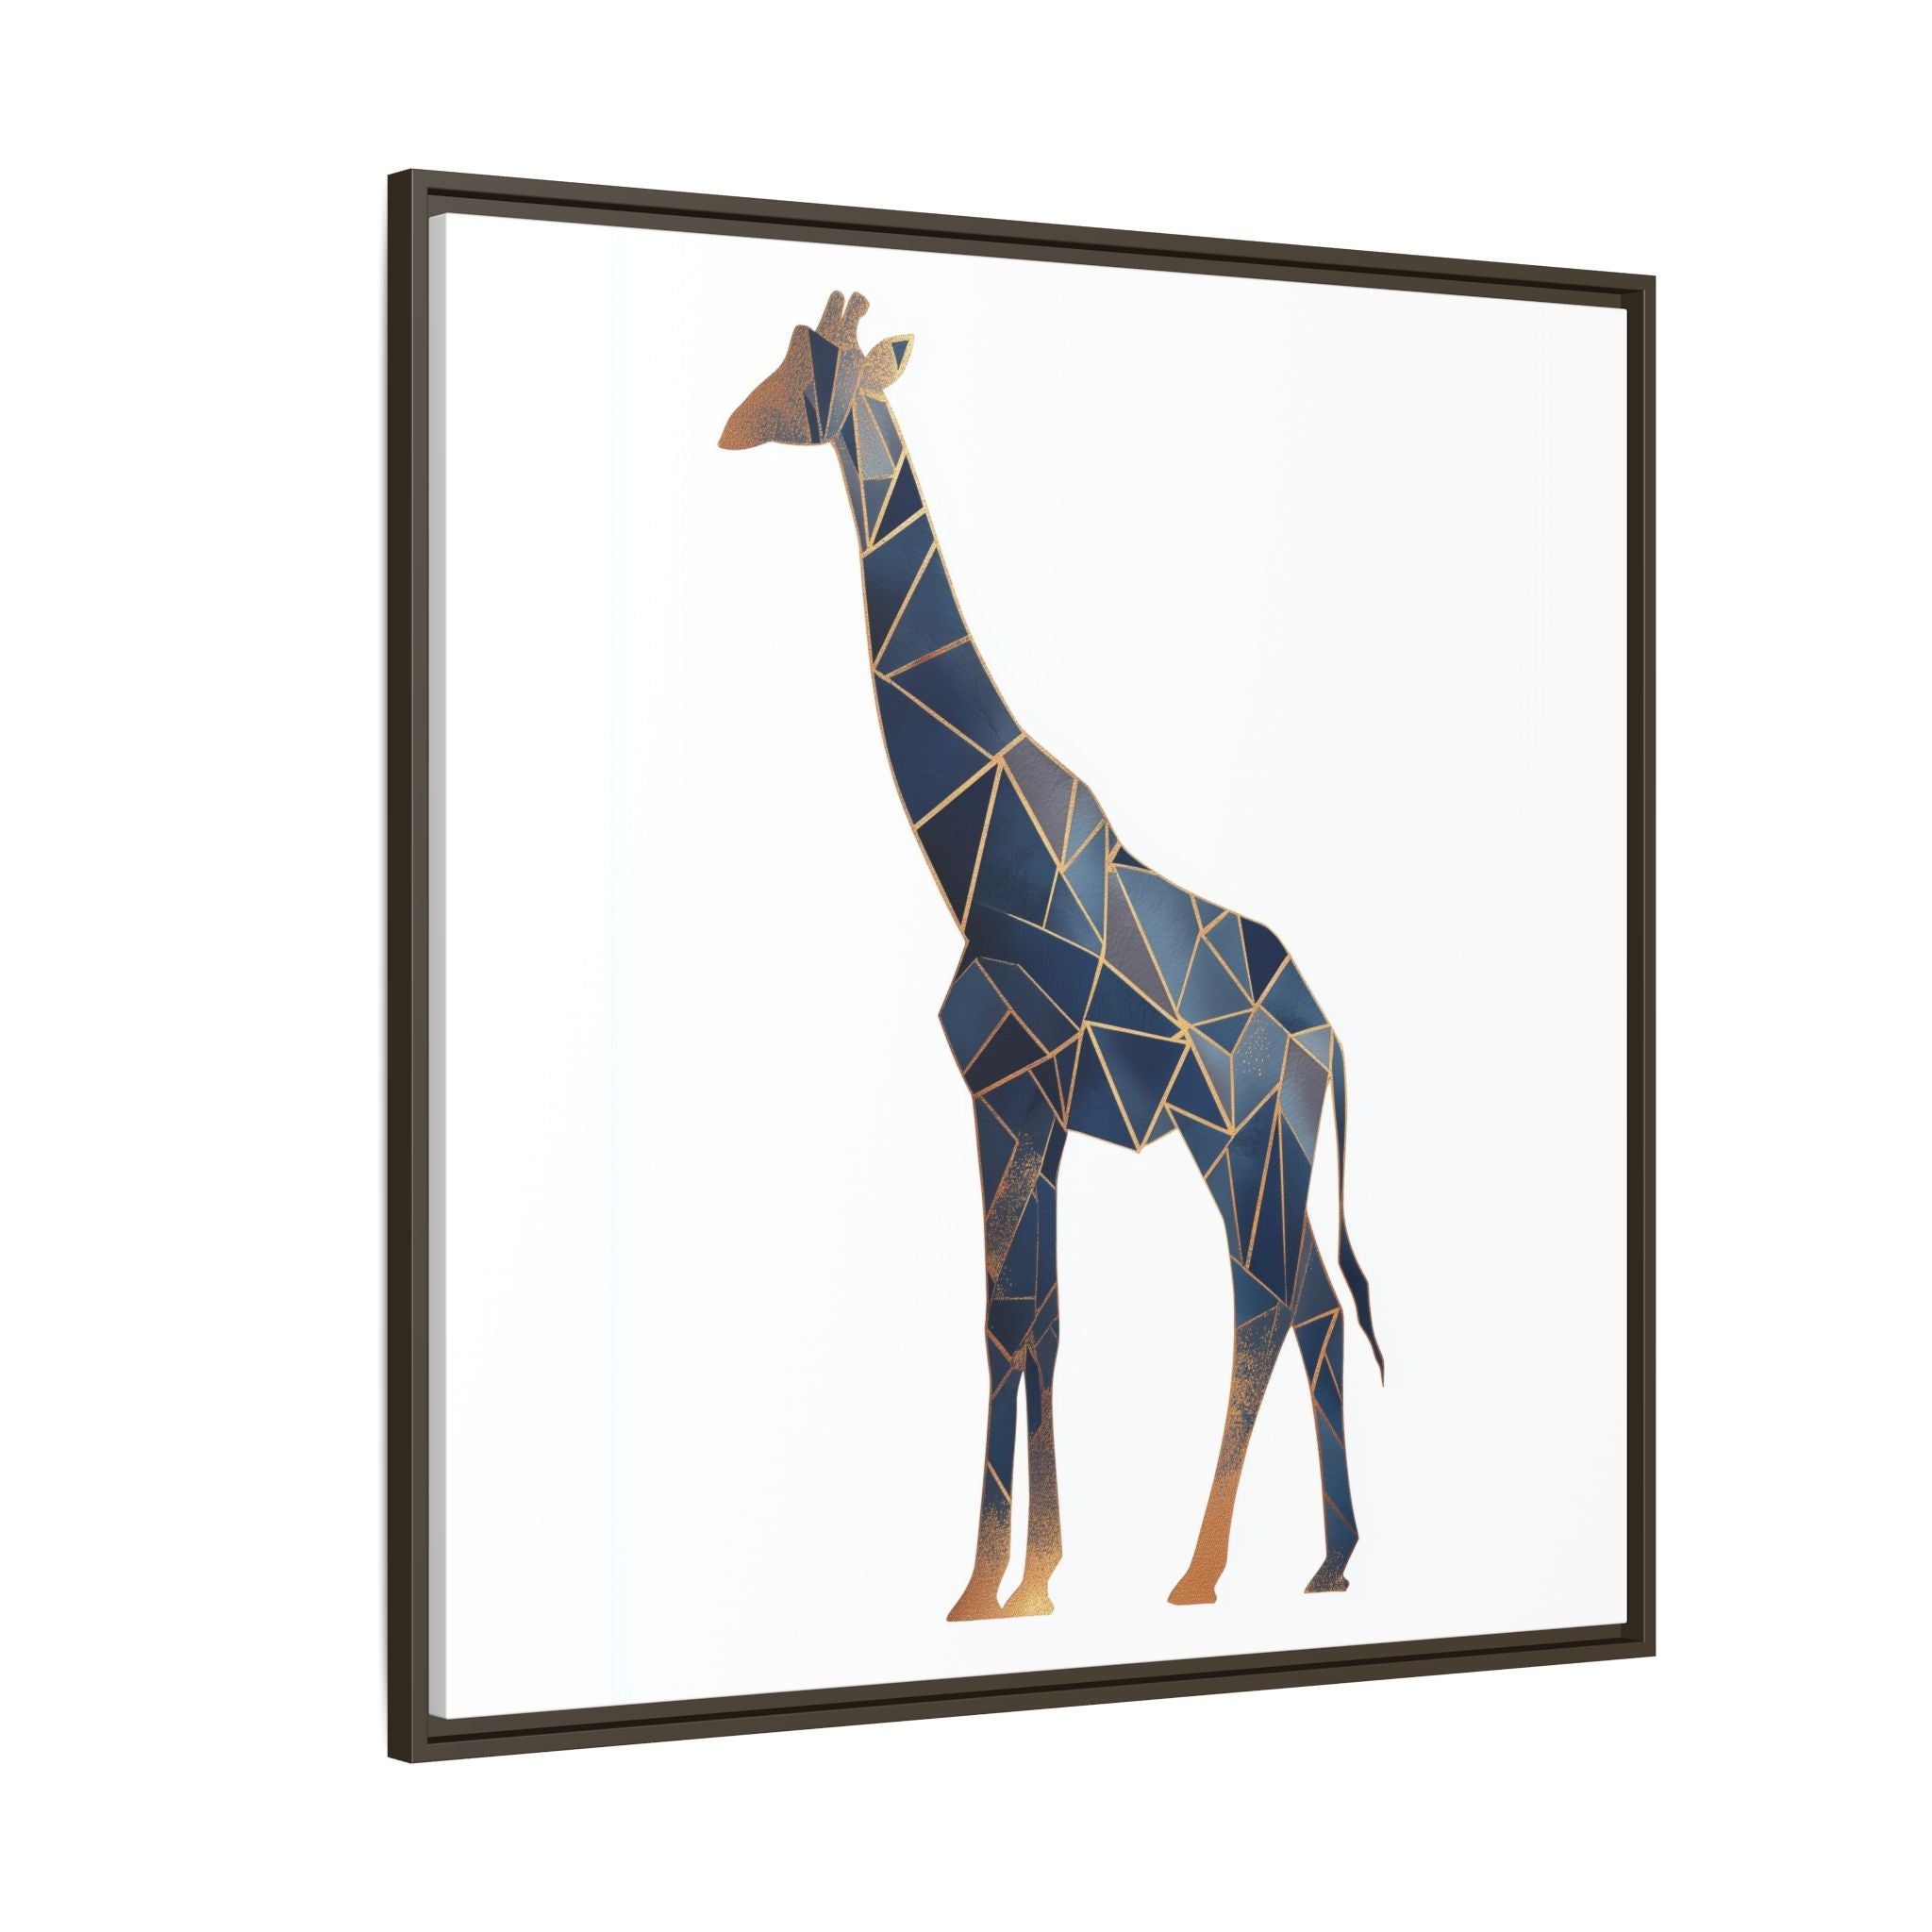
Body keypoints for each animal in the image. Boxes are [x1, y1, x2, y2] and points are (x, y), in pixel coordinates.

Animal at [720, 291, 1384, 1619]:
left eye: (808, 370)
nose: (729, 424)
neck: (977, 859)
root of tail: (1326, 1036)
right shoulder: (1032, 1109)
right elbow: (1042, 1319)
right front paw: (1033, 1577)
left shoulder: (1006, 1092)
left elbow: (1004, 1319)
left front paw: (986, 1586)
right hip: (1271, 1147)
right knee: (1317, 1306)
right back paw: (1328, 1559)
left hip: (1231, 1138)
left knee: (1263, 1302)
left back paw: (1202, 1569)